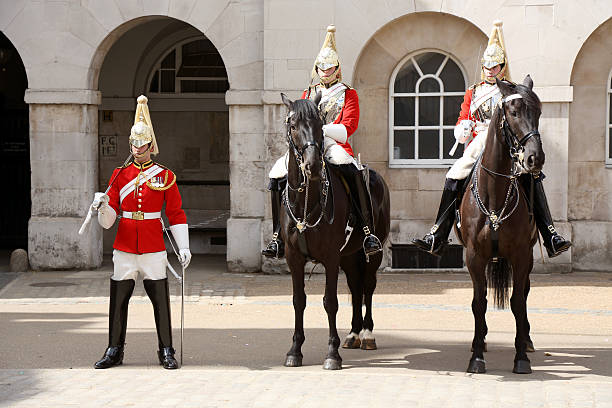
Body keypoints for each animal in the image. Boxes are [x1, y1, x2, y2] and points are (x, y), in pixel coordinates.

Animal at [280, 92, 390, 370]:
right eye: (293, 125)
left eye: (321, 125)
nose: (312, 167)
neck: (307, 200)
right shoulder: (293, 257)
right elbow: (299, 300)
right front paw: (295, 350)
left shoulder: (330, 257)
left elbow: (330, 302)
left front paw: (332, 354)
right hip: (349, 256)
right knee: (355, 285)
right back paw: (353, 333)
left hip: (372, 253)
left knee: (368, 285)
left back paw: (367, 334)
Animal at [462, 75, 544, 374]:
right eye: (513, 112)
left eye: (539, 112)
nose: (535, 158)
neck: (495, 195)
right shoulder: (474, 256)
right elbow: (479, 303)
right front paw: (476, 356)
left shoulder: (521, 255)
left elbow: (518, 302)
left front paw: (521, 356)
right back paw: (483, 340)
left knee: (526, 293)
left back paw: (527, 341)